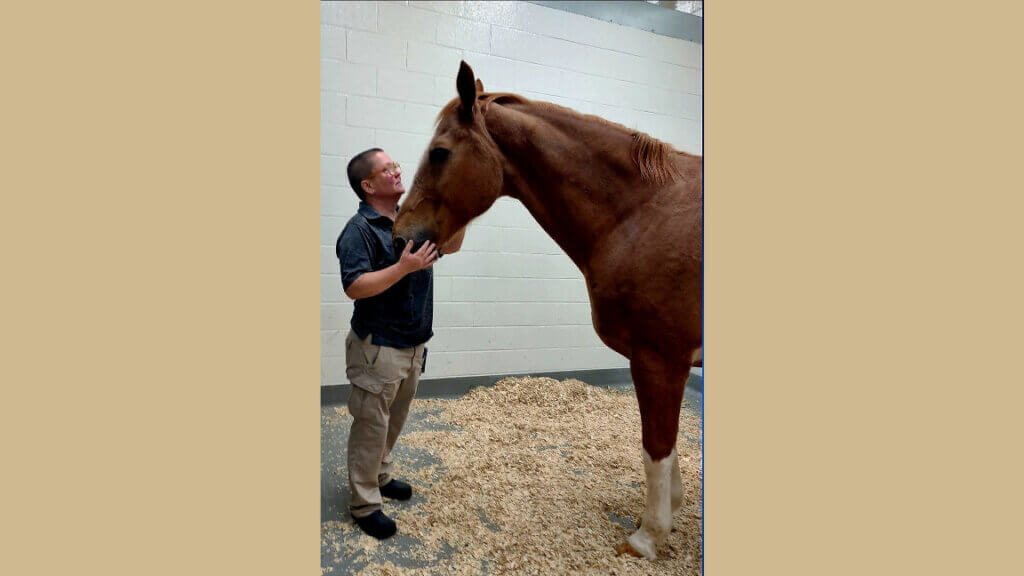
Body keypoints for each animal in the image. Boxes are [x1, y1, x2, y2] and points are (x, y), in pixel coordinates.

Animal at [394, 61, 702, 560]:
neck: (641, 213)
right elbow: (666, 445)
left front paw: (647, 536)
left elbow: (656, 445)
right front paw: (667, 513)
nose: (401, 235)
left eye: (439, 153)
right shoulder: (665, 365)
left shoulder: (660, 359)